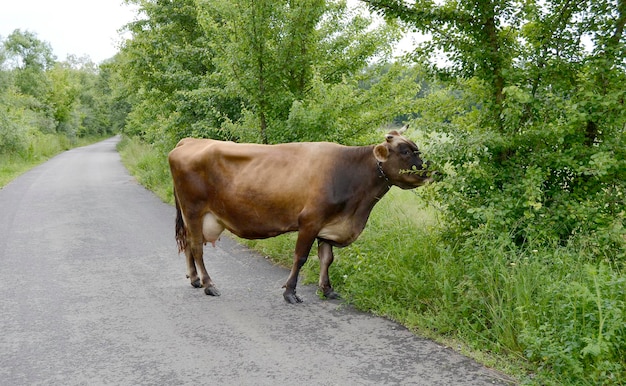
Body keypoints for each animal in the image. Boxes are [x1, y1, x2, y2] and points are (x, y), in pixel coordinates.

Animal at [166, 128, 432, 304]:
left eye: (415, 147)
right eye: (405, 151)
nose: (432, 170)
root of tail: (188, 141)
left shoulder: (329, 225)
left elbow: (327, 259)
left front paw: (327, 289)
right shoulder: (310, 222)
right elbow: (301, 257)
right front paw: (290, 292)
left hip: (193, 216)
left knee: (189, 243)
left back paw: (195, 279)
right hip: (194, 210)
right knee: (196, 247)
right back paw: (209, 284)